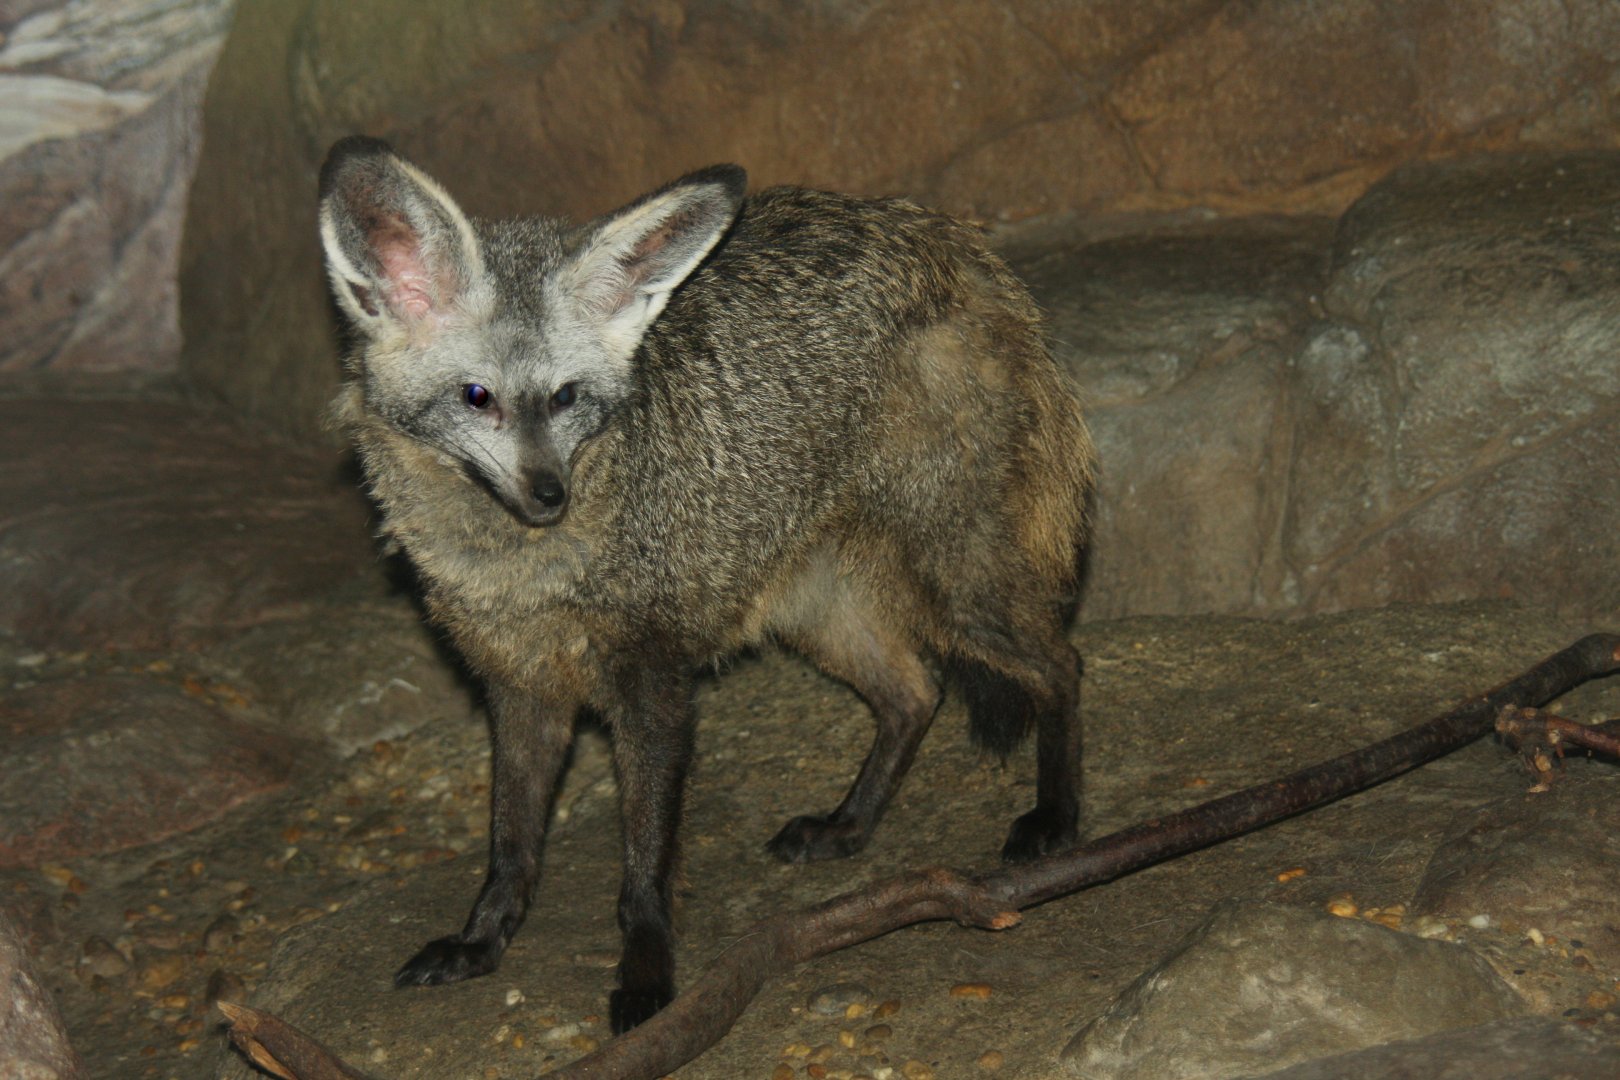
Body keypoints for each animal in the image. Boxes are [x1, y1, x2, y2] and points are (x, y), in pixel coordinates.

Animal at [317, 135, 1095, 1032]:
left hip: (957, 584)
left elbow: (645, 866)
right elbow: (510, 847)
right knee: (915, 693)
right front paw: (481, 944)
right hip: (816, 607)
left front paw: (648, 975)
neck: (522, 579)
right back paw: (849, 826)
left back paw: (1058, 816)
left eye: (566, 397)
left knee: (1060, 664)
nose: (549, 496)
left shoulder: (651, 681)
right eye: (477, 398)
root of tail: (959, 246)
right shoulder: (518, 687)